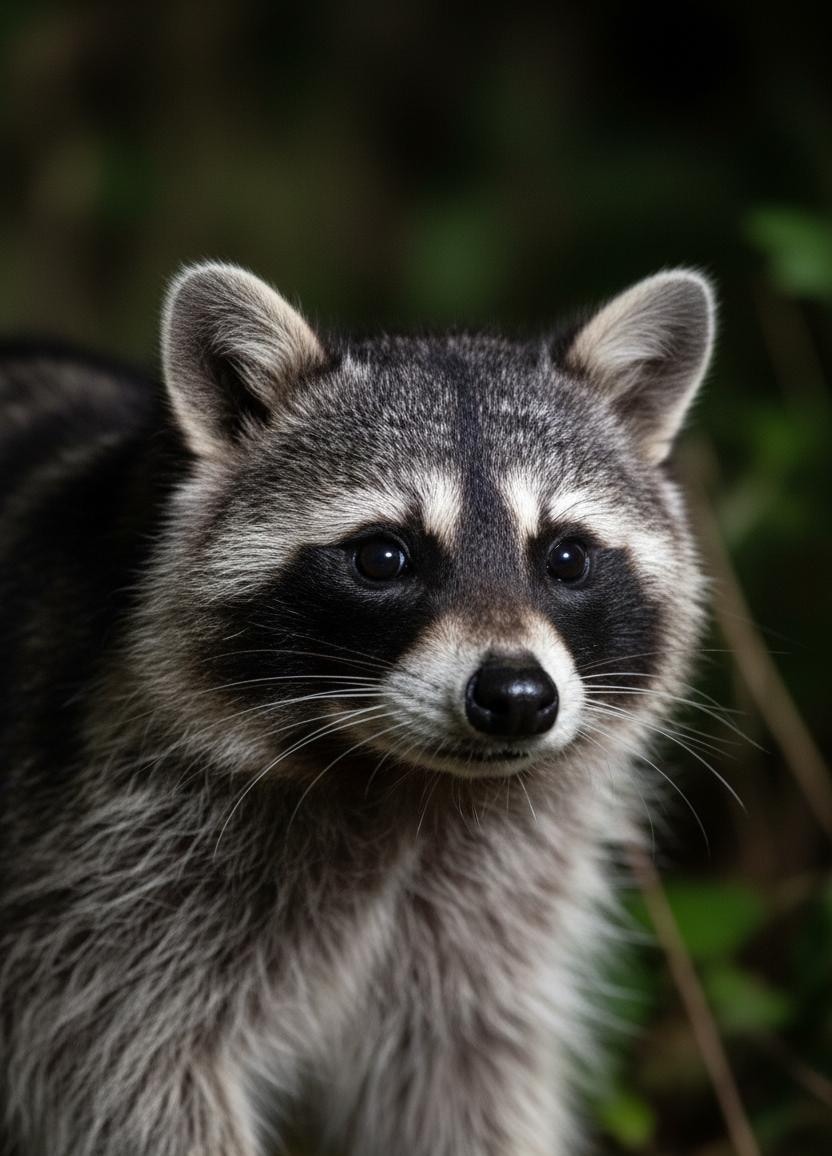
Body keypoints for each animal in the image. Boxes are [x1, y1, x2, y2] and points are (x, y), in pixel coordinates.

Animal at [0, 263, 714, 1156]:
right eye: (383, 556)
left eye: (567, 557)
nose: (516, 698)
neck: (408, 785)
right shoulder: (95, 886)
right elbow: (121, 1079)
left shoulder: (493, 911)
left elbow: (469, 1079)